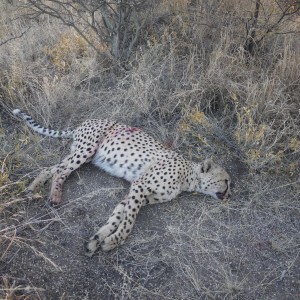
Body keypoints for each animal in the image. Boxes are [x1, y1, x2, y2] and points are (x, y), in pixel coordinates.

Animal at [12, 109, 231, 254]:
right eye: (226, 181)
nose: (230, 195)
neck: (187, 177)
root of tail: (86, 122)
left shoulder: (138, 195)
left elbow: (117, 216)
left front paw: (97, 240)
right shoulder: (139, 187)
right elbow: (128, 222)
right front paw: (114, 241)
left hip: (82, 154)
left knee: (53, 168)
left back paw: (33, 188)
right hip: (87, 149)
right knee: (60, 172)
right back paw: (54, 195)